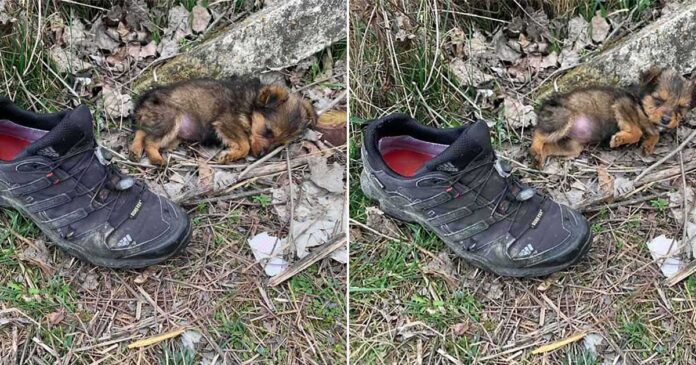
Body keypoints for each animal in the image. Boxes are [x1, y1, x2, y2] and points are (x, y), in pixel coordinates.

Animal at [129, 77, 316, 165]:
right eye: (268, 131)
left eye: (279, 143)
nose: (261, 155)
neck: (249, 106)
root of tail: (143, 100)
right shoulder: (226, 123)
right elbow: (245, 145)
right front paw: (230, 155)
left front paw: (231, 154)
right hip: (171, 119)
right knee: (149, 140)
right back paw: (156, 158)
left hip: (167, 129)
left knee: (142, 131)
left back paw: (135, 150)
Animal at [532, 67, 692, 167]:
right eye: (658, 100)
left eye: (681, 107)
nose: (666, 120)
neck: (641, 102)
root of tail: (544, 105)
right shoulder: (622, 106)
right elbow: (637, 132)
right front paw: (620, 139)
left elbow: (654, 134)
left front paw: (648, 146)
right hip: (563, 118)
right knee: (538, 133)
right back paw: (535, 150)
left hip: (571, 146)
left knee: (548, 145)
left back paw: (539, 157)